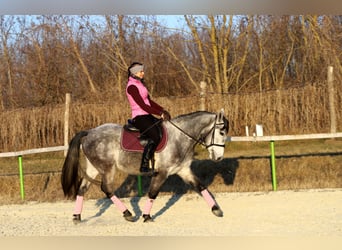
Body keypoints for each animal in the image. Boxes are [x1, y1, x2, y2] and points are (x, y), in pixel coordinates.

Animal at [61, 109, 230, 223]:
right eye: (221, 132)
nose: (219, 158)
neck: (179, 137)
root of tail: (89, 132)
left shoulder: (183, 170)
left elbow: (201, 186)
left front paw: (217, 210)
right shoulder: (162, 173)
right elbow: (153, 193)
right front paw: (147, 216)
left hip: (93, 168)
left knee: (82, 189)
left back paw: (77, 216)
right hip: (107, 168)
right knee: (107, 189)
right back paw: (128, 214)